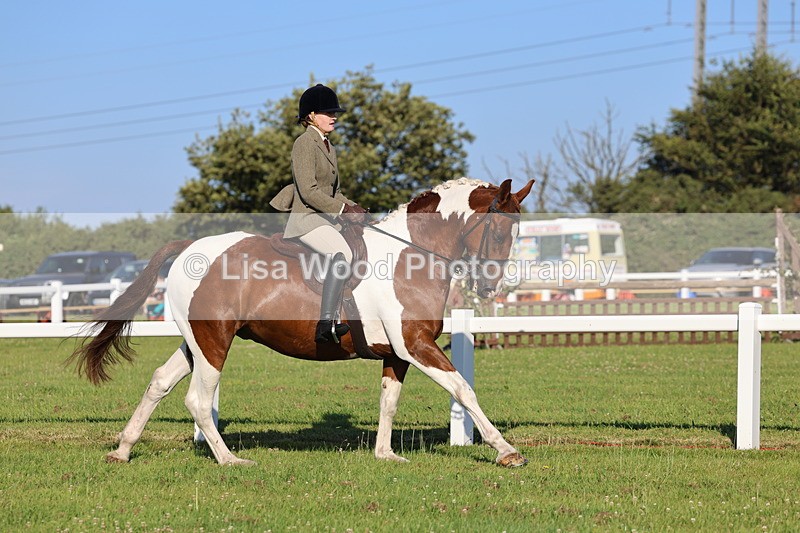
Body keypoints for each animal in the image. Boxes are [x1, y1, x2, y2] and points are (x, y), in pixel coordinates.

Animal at [70, 177, 534, 467]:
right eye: (497, 231)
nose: (490, 287)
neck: (410, 255)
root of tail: (189, 247)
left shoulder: (399, 352)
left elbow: (389, 401)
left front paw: (385, 455)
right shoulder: (416, 344)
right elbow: (463, 389)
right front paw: (506, 451)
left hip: (197, 341)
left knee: (160, 382)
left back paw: (123, 450)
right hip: (214, 341)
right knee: (198, 401)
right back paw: (230, 459)